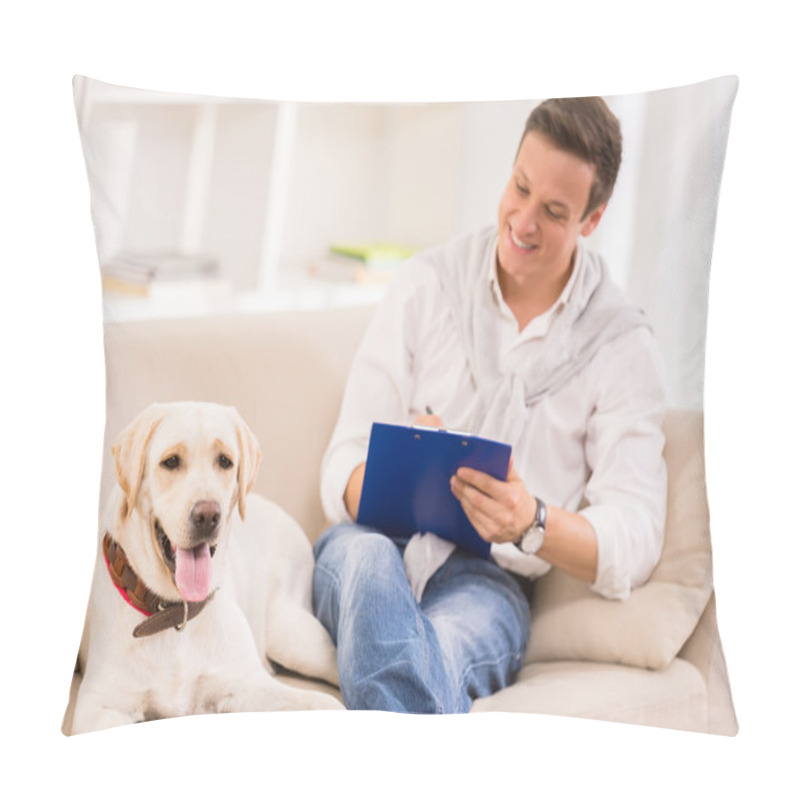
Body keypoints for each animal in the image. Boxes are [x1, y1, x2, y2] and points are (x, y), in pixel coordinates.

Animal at [69, 404, 340, 736]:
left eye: (225, 461)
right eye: (171, 462)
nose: (208, 515)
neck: (175, 613)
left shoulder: (248, 683)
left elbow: (326, 703)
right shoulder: (99, 706)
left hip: (294, 636)